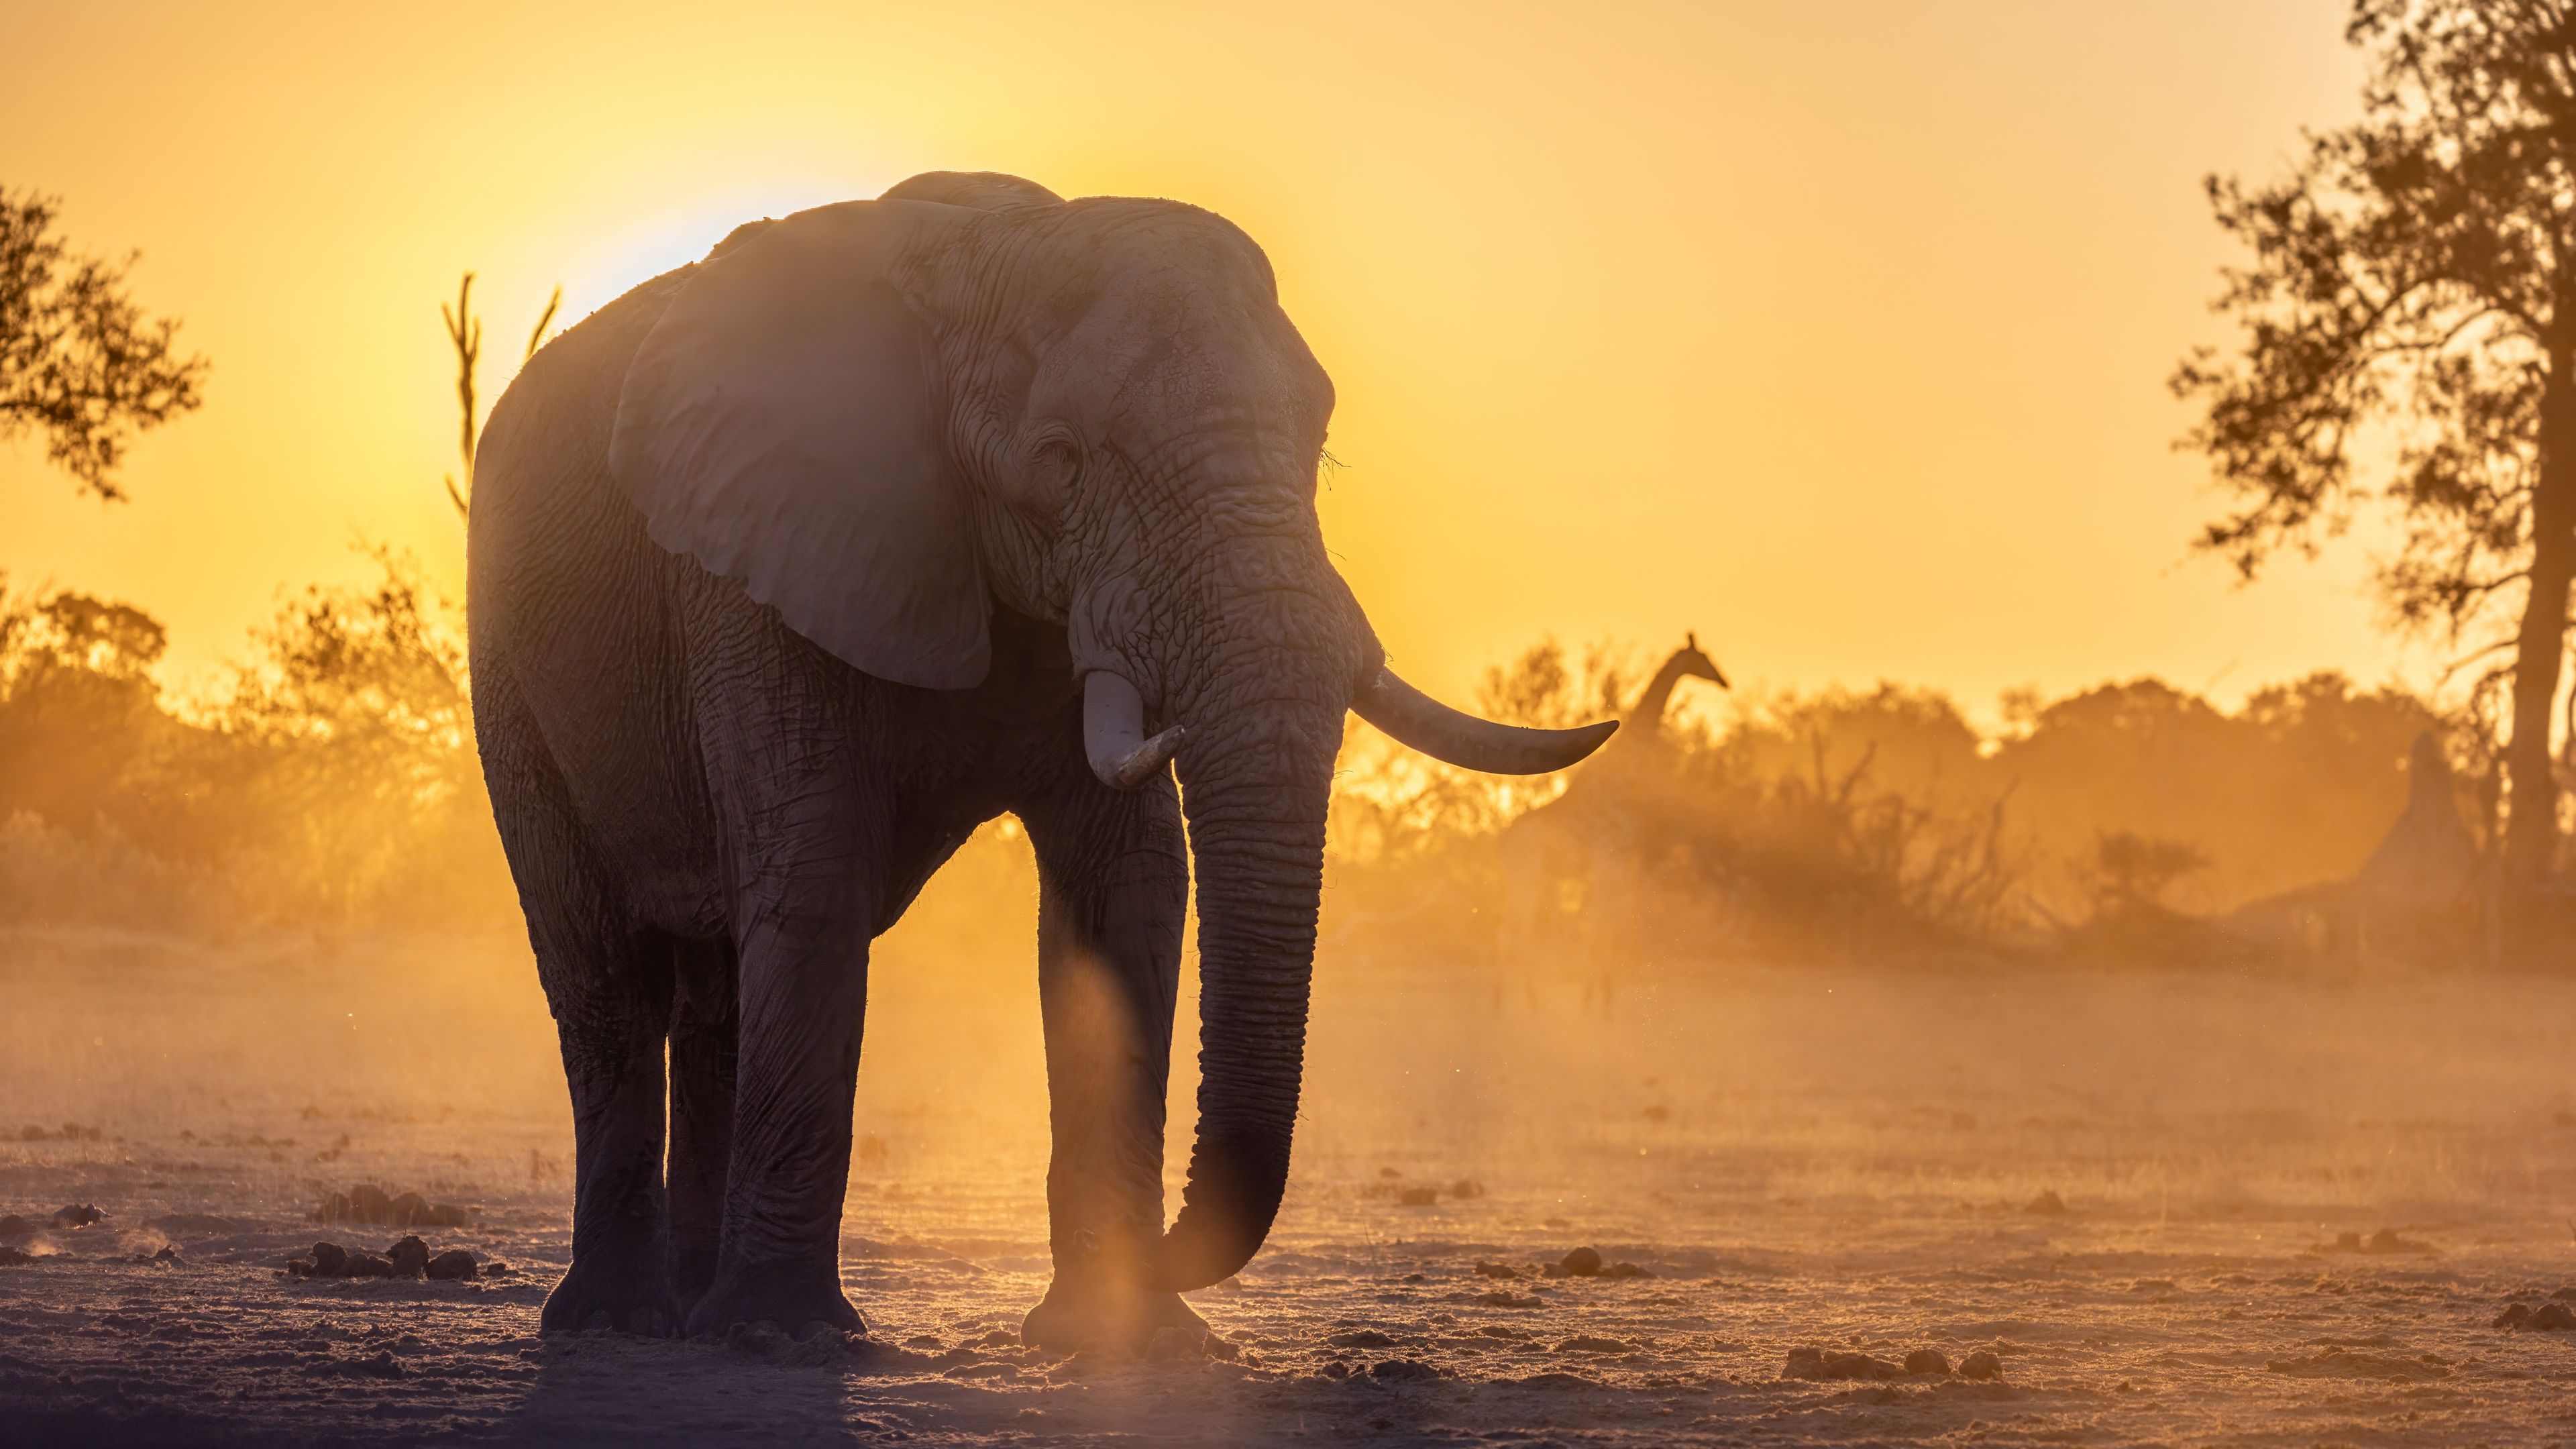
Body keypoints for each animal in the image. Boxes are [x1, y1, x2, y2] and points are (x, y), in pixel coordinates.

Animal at [465, 169, 1616, 1348]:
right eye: (1062, 460)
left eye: (1323, 447)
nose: (1163, 1247)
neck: (993, 248)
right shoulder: (758, 569)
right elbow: (817, 874)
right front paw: (787, 1341)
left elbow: (1130, 886)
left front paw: (1125, 1339)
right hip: (510, 668)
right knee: (607, 982)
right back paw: (622, 1320)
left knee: (717, 992)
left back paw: (694, 1312)